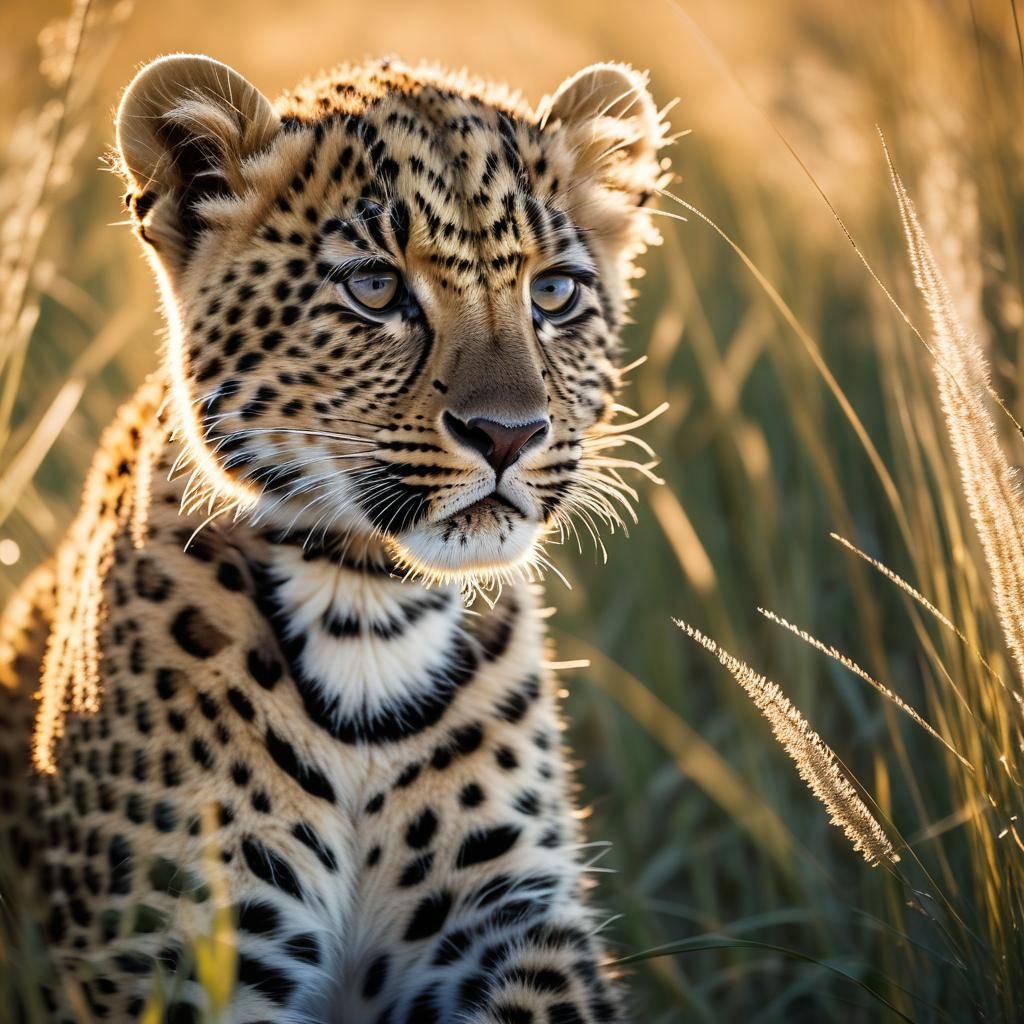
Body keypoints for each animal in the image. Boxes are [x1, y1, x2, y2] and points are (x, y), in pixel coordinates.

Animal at [0, 51, 673, 1023]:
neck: (368, 609)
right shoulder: (173, 955)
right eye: (375, 287)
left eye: (553, 292)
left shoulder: (509, 917)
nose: (508, 435)